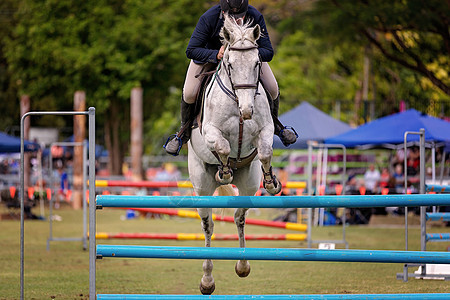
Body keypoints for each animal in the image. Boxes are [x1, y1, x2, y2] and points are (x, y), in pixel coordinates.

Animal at [187, 15, 282, 294]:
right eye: (229, 63)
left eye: (257, 63)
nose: (247, 110)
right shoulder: (210, 131)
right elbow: (224, 147)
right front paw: (225, 170)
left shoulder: (265, 129)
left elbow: (265, 150)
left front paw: (271, 183)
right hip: (201, 187)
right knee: (208, 225)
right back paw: (207, 280)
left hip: (249, 184)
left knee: (240, 217)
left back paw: (242, 265)